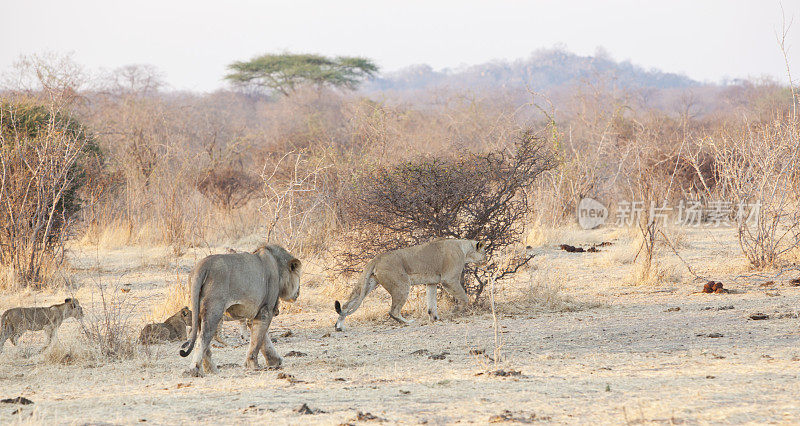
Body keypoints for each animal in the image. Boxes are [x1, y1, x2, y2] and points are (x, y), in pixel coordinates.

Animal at [180, 245, 302, 374]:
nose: (298, 292)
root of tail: (201, 266)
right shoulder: (266, 310)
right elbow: (258, 340)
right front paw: (254, 365)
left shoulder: (256, 313)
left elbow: (262, 339)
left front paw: (273, 361)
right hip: (214, 309)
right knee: (203, 338)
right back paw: (194, 370)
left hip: (198, 310)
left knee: (204, 343)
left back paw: (211, 370)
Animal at [332, 238, 484, 332]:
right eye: (485, 253)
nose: (486, 260)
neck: (464, 248)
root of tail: (377, 258)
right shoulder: (449, 279)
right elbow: (464, 298)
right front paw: (455, 312)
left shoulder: (431, 282)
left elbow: (431, 304)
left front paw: (435, 319)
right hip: (402, 285)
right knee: (393, 311)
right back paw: (408, 322)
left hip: (366, 284)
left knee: (346, 305)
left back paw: (339, 326)